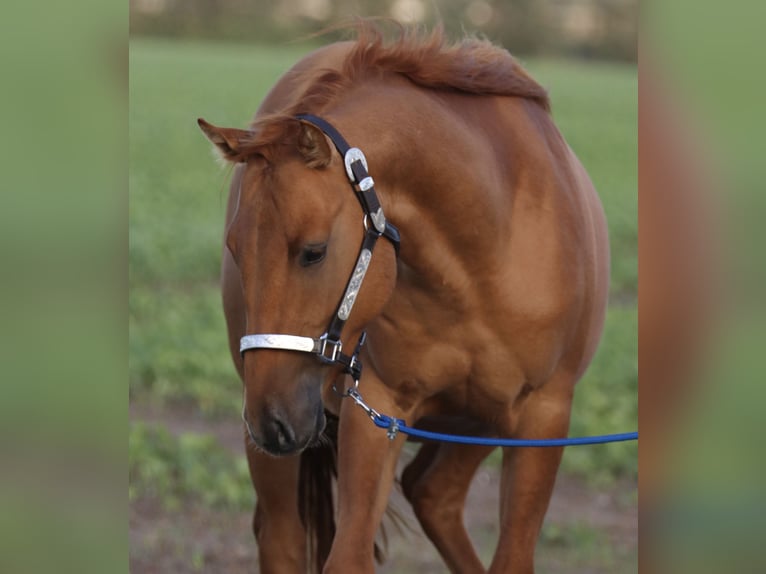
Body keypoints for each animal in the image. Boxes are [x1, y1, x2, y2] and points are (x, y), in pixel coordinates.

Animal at [198, 22, 609, 574]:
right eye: (235, 251)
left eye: (313, 252)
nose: (272, 422)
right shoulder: (378, 409)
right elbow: (346, 556)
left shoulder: (542, 418)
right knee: (286, 535)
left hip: (477, 421)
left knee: (434, 493)